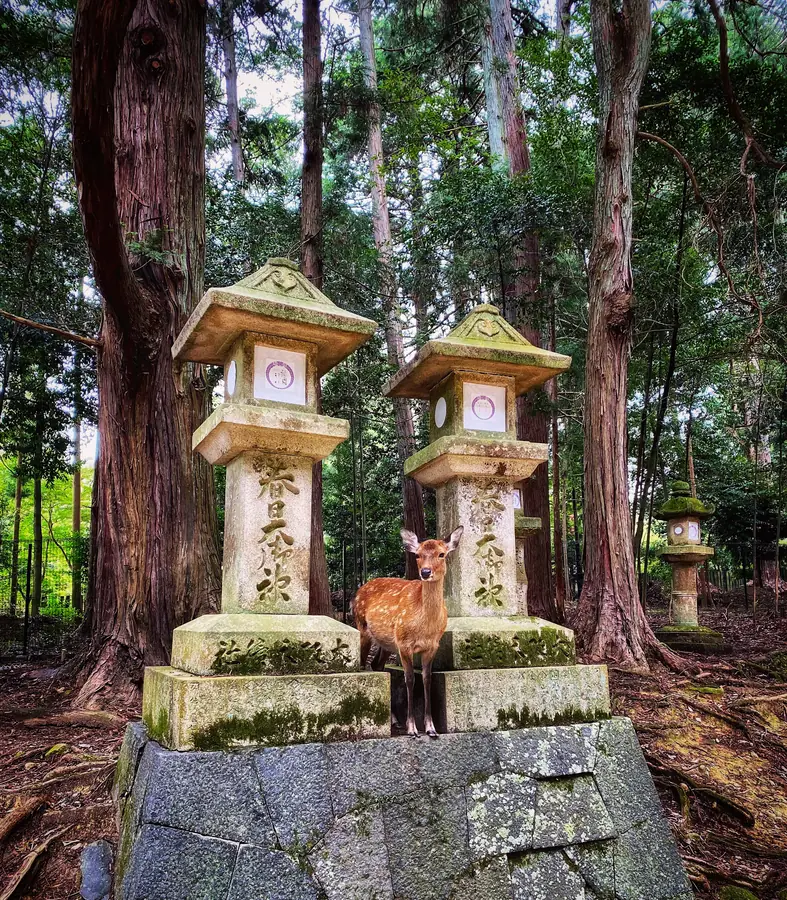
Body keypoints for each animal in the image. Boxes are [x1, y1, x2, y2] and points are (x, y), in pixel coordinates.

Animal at [354, 526, 463, 738]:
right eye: (418, 555)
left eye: (441, 554)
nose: (425, 572)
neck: (425, 627)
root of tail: (358, 590)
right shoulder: (404, 644)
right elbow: (410, 679)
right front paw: (412, 728)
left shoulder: (432, 646)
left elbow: (427, 679)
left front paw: (431, 728)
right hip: (362, 626)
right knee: (363, 664)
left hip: (387, 642)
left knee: (377, 665)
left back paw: (394, 720)